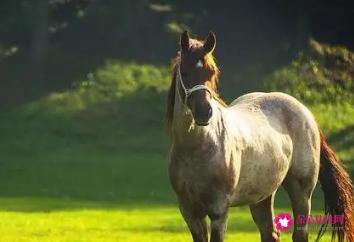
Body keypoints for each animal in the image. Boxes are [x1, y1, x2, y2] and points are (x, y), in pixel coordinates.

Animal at [167, 30, 354, 242]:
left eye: (212, 72)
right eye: (185, 72)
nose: (204, 113)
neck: (197, 150)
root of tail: (306, 112)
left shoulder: (219, 211)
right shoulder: (190, 212)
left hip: (301, 192)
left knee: (299, 233)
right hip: (262, 196)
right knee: (270, 233)